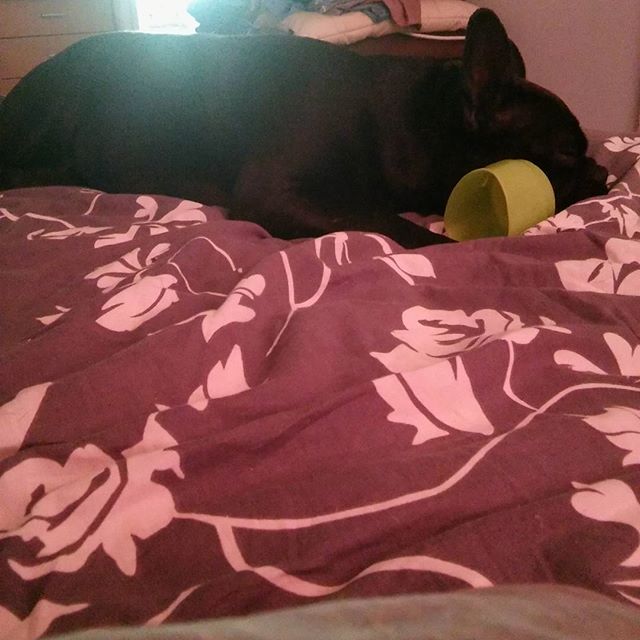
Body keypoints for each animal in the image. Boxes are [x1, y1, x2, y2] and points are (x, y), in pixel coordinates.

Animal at [0, 9, 607, 248]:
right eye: (566, 154)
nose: (602, 171)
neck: (408, 118)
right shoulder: (278, 192)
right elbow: (383, 220)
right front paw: (441, 243)